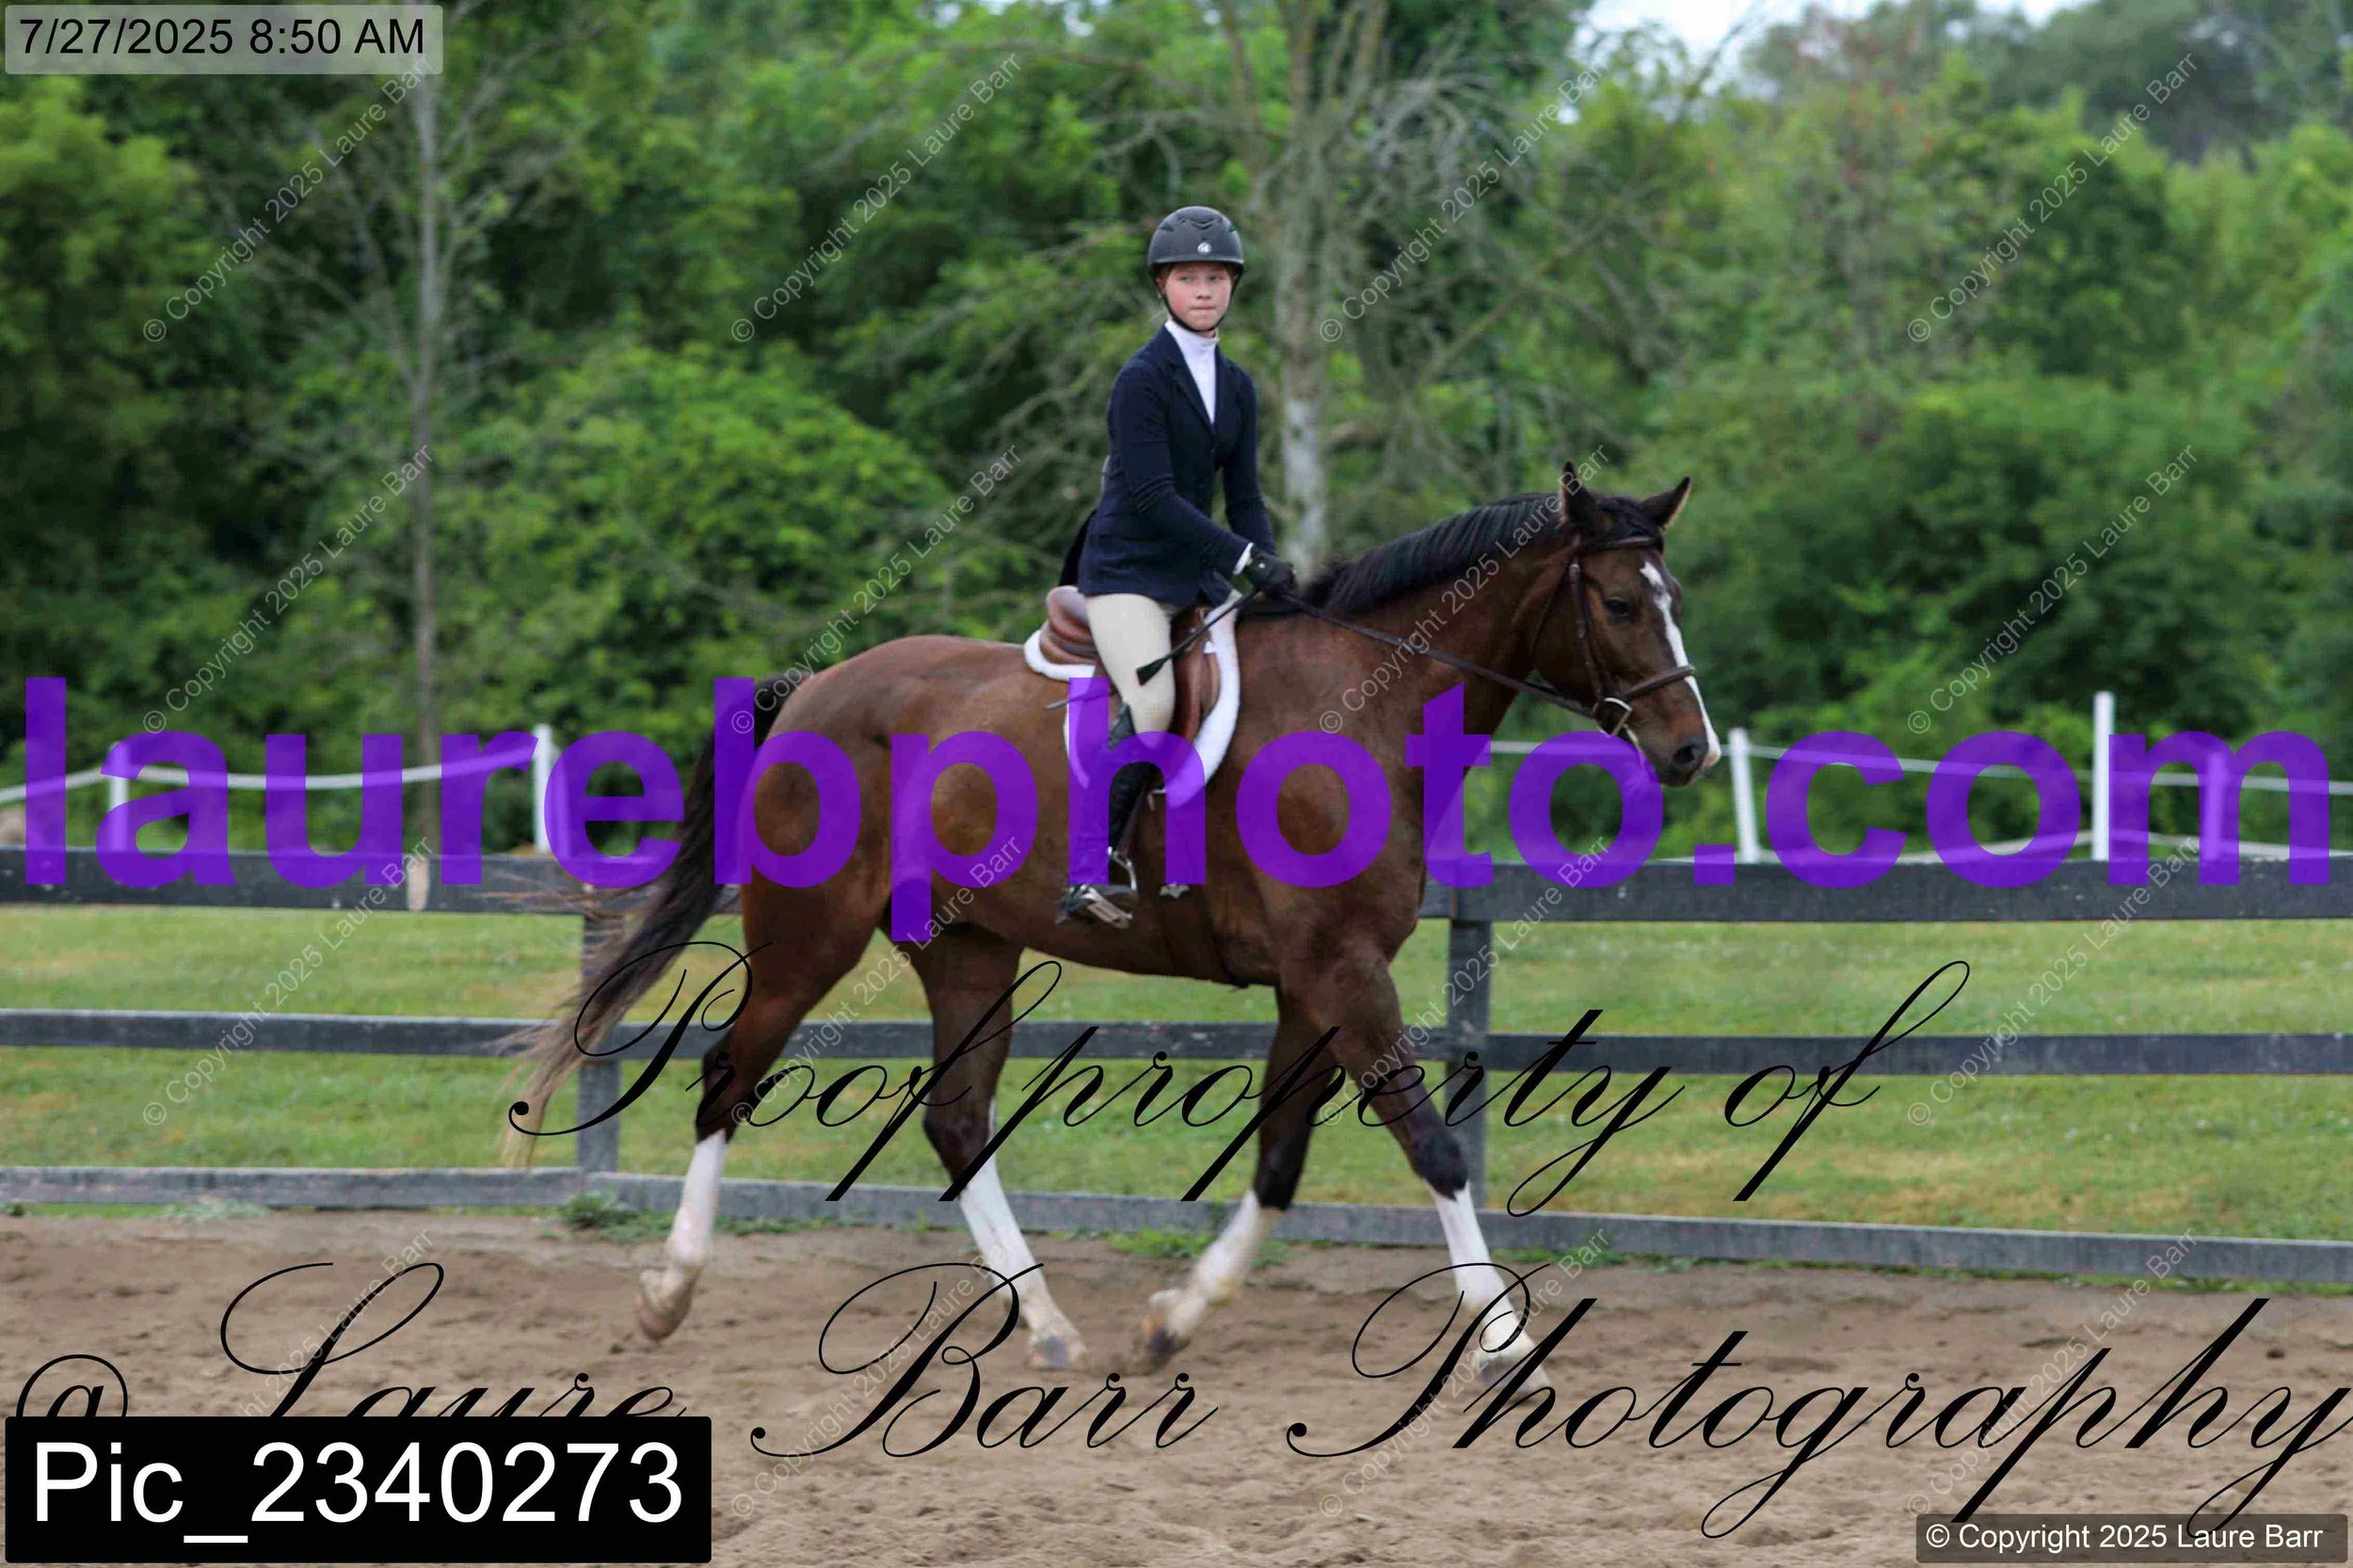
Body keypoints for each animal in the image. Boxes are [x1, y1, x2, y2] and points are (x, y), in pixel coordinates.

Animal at [504, 460, 1719, 1381]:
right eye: (1620, 604)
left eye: (1674, 597)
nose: (1690, 750)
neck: (1365, 707)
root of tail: (811, 688)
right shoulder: (1340, 968)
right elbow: (1430, 1142)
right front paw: (1507, 1342)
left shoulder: (1312, 979)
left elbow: (1279, 1159)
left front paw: (1171, 1320)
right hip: (810, 938)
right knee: (729, 1074)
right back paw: (668, 1293)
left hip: (967, 949)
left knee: (955, 1120)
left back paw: (1048, 1327)